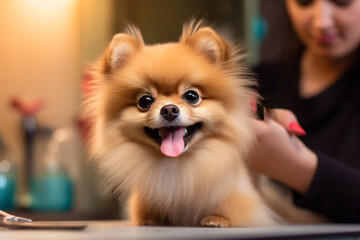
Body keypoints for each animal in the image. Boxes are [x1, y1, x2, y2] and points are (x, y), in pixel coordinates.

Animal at [83, 20, 324, 227]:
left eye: (191, 96)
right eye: (145, 101)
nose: (169, 109)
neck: (177, 164)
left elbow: (232, 208)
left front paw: (217, 218)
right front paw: (151, 218)